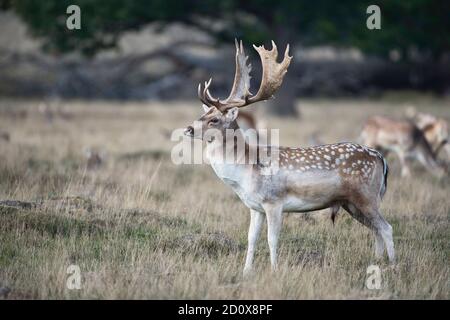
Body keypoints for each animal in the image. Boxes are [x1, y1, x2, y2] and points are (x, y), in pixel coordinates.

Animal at [183, 40, 394, 276]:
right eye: (203, 114)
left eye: (215, 119)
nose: (188, 129)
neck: (245, 171)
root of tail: (381, 159)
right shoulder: (255, 206)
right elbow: (251, 238)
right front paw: (246, 271)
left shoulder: (274, 201)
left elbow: (272, 239)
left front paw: (274, 270)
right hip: (352, 203)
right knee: (376, 229)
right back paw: (376, 262)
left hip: (366, 196)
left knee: (387, 227)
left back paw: (393, 265)